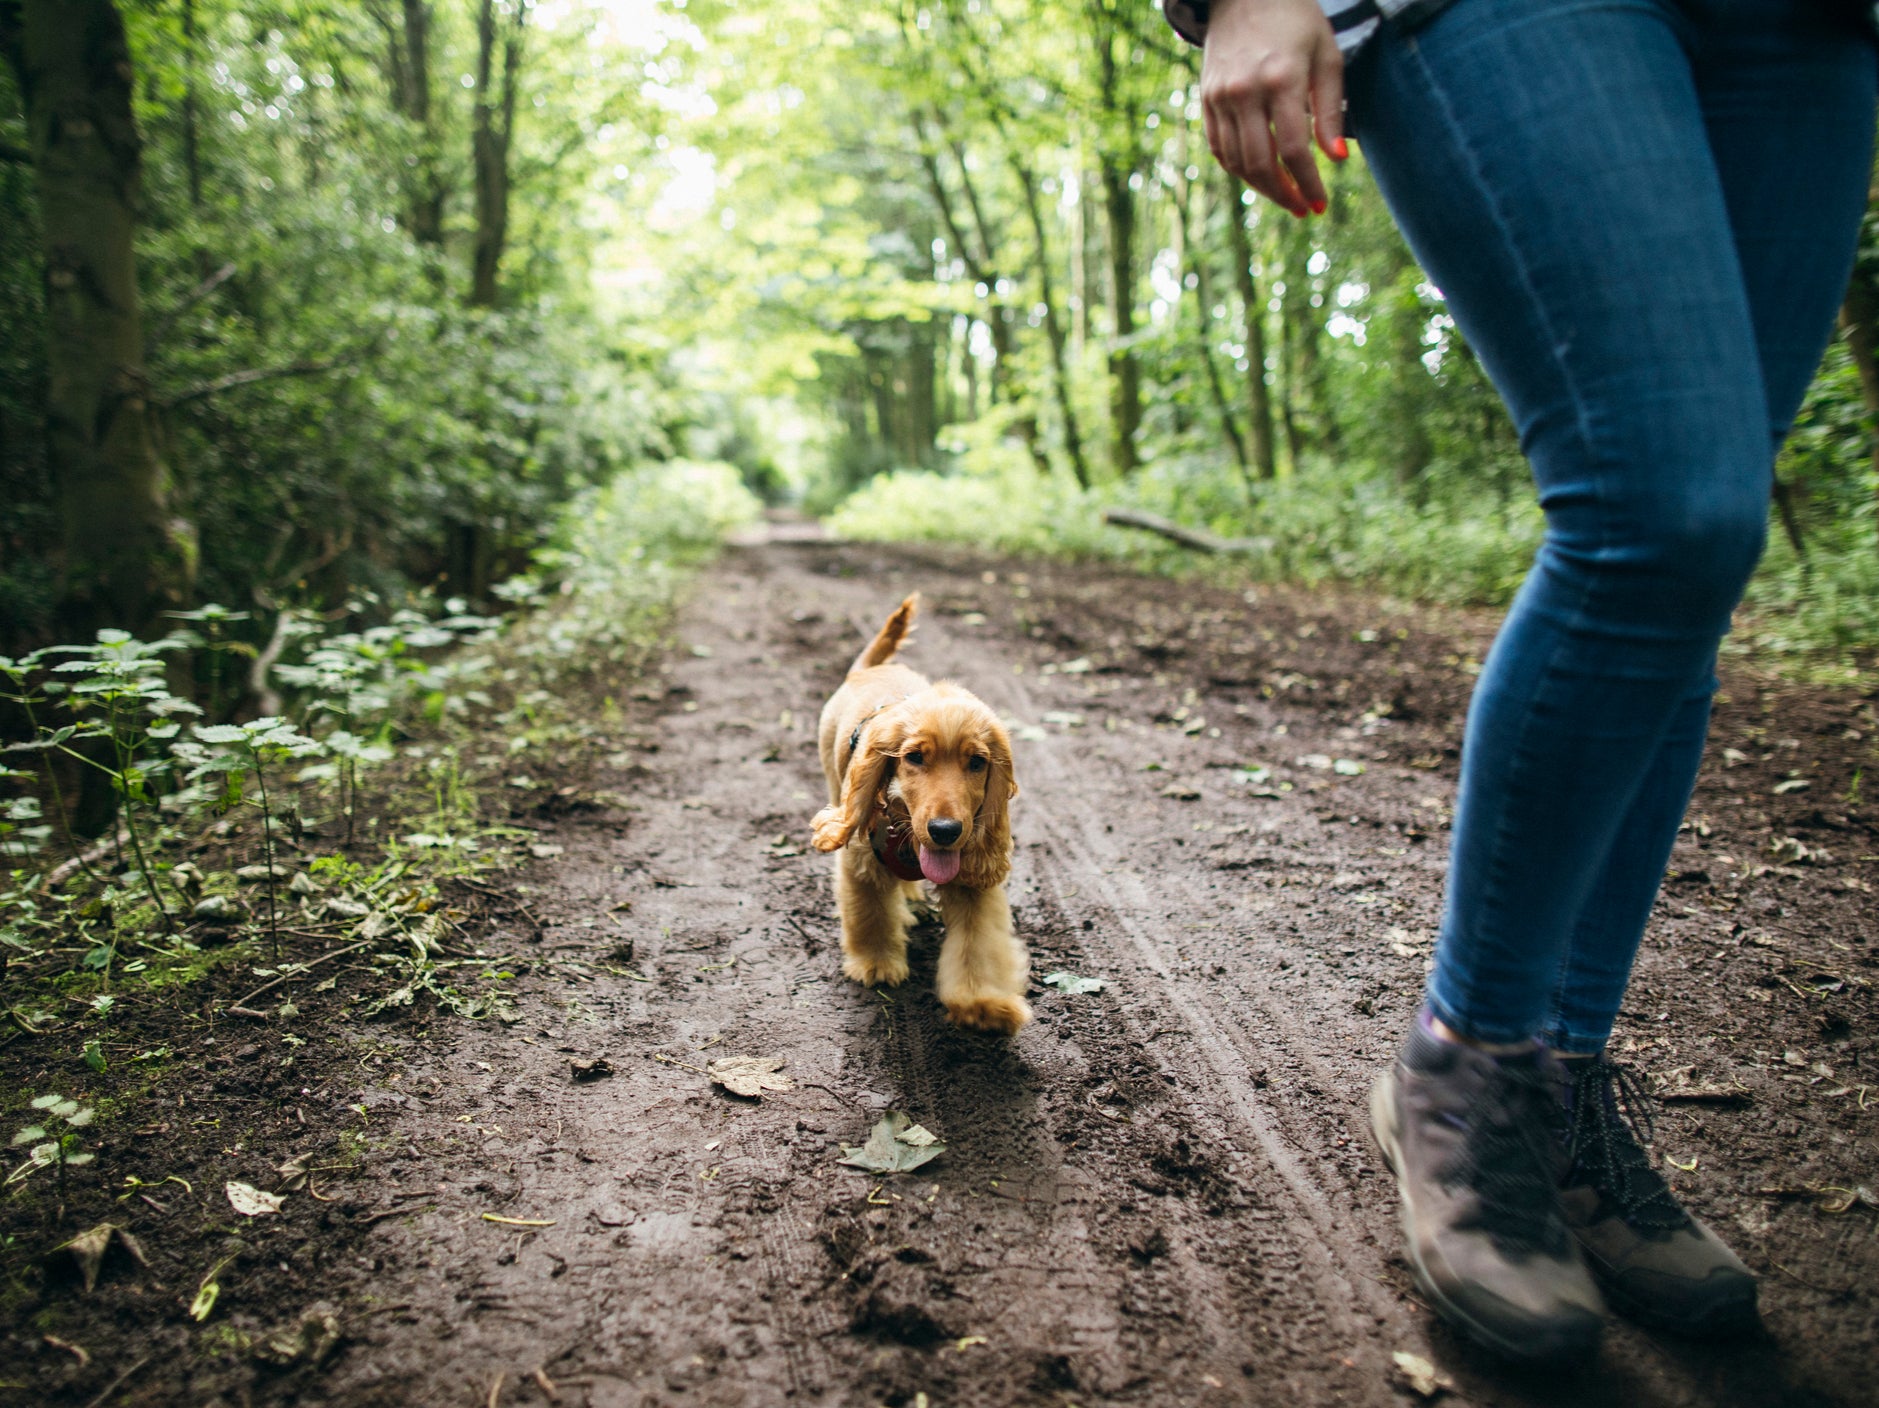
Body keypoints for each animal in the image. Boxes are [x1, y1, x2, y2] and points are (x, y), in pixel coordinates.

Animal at [804, 594, 1029, 1030]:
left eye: (977, 762)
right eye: (914, 757)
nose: (944, 830)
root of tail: (868, 668)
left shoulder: (971, 877)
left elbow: (978, 943)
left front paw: (983, 1003)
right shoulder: (861, 862)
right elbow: (870, 913)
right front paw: (876, 964)